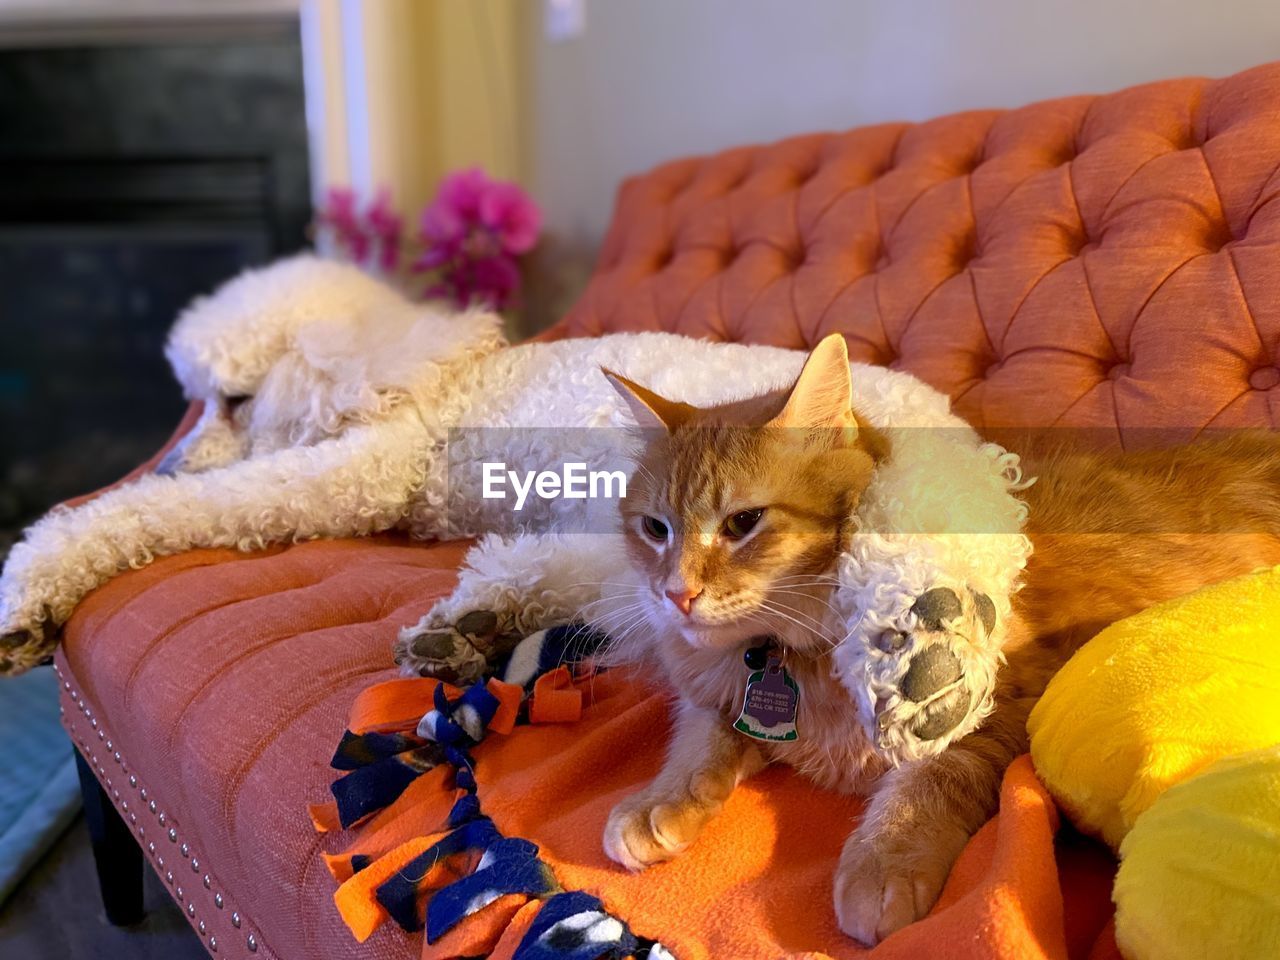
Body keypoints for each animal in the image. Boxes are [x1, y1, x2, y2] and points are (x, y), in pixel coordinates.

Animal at [604, 340, 1280, 947]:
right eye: (655, 528)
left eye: (743, 523)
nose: (675, 594)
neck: (800, 653)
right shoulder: (719, 695)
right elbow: (700, 737)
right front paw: (659, 799)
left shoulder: (995, 707)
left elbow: (928, 779)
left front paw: (885, 858)